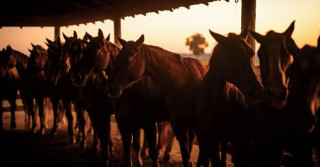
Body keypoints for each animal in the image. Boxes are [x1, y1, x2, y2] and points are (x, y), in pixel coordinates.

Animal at [104, 34, 208, 166]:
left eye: (128, 60)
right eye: (116, 60)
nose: (110, 87)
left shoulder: (149, 123)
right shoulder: (126, 123)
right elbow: (128, 152)